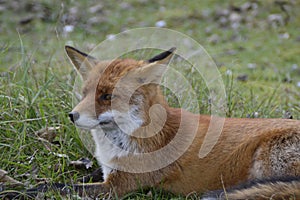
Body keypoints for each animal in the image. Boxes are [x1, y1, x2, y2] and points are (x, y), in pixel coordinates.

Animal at [1, 46, 298, 199]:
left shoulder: (117, 188)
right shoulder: (108, 171)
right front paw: (13, 183)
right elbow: (64, 179)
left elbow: (52, 187)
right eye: (84, 93)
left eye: (107, 96)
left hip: (268, 160)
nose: (72, 116)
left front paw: (16, 190)